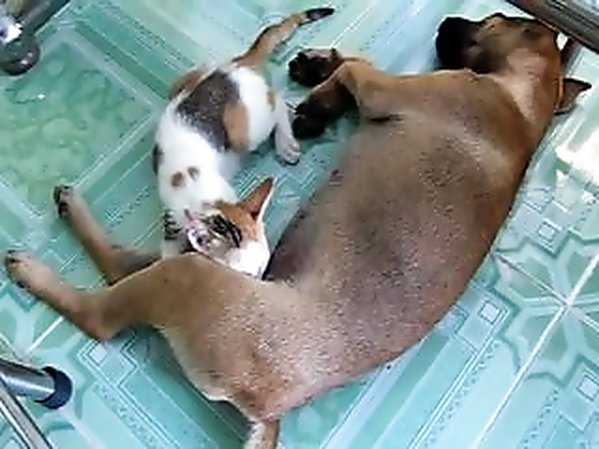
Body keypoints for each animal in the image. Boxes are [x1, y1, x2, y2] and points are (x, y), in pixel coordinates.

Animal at [153, 7, 335, 264]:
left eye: (262, 268)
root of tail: (241, 64)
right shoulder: (171, 213)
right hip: (190, 90)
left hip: (246, 131)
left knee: (277, 99)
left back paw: (285, 144)